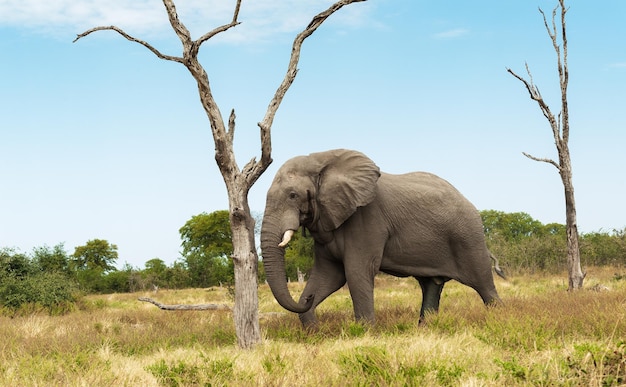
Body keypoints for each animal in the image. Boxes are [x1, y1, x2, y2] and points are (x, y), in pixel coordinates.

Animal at [258, 149, 502, 328]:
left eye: (293, 195)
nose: (307, 298)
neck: (321, 160)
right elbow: (329, 275)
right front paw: (313, 332)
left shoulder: (367, 220)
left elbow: (356, 272)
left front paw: (365, 334)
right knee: (431, 287)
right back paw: (425, 330)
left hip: (468, 237)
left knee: (485, 285)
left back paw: (500, 320)